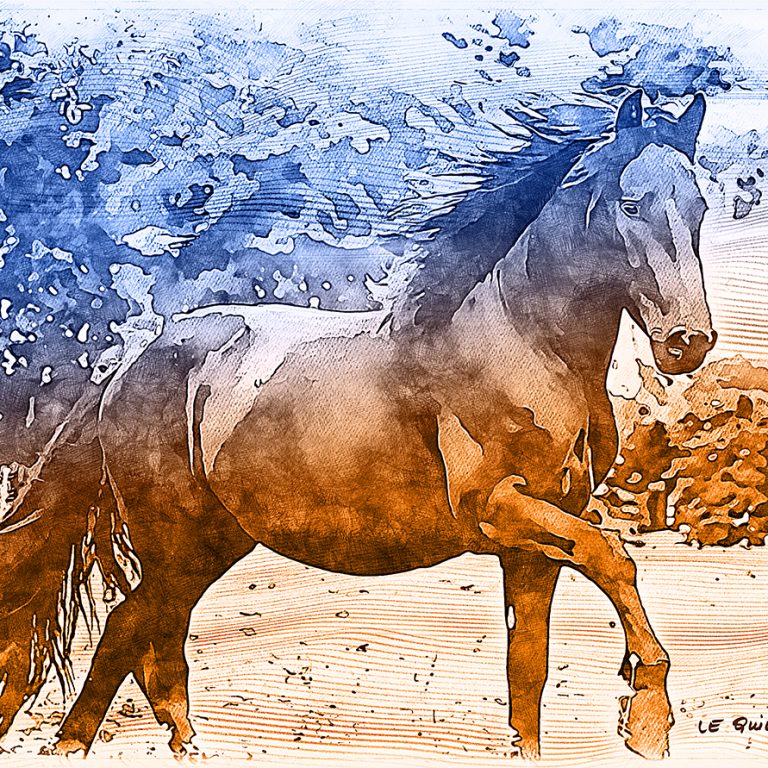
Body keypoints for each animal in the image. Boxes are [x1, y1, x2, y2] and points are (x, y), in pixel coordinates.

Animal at [0, 89, 715, 760]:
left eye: (699, 207)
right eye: (630, 204)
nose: (688, 343)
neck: (525, 343)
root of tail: (132, 360)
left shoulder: (534, 543)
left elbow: (528, 674)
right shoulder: (497, 509)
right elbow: (613, 556)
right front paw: (648, 713)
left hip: (211, 544)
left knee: (154, 643)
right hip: (177, 542)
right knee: (129, 633)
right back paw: (74, 746)